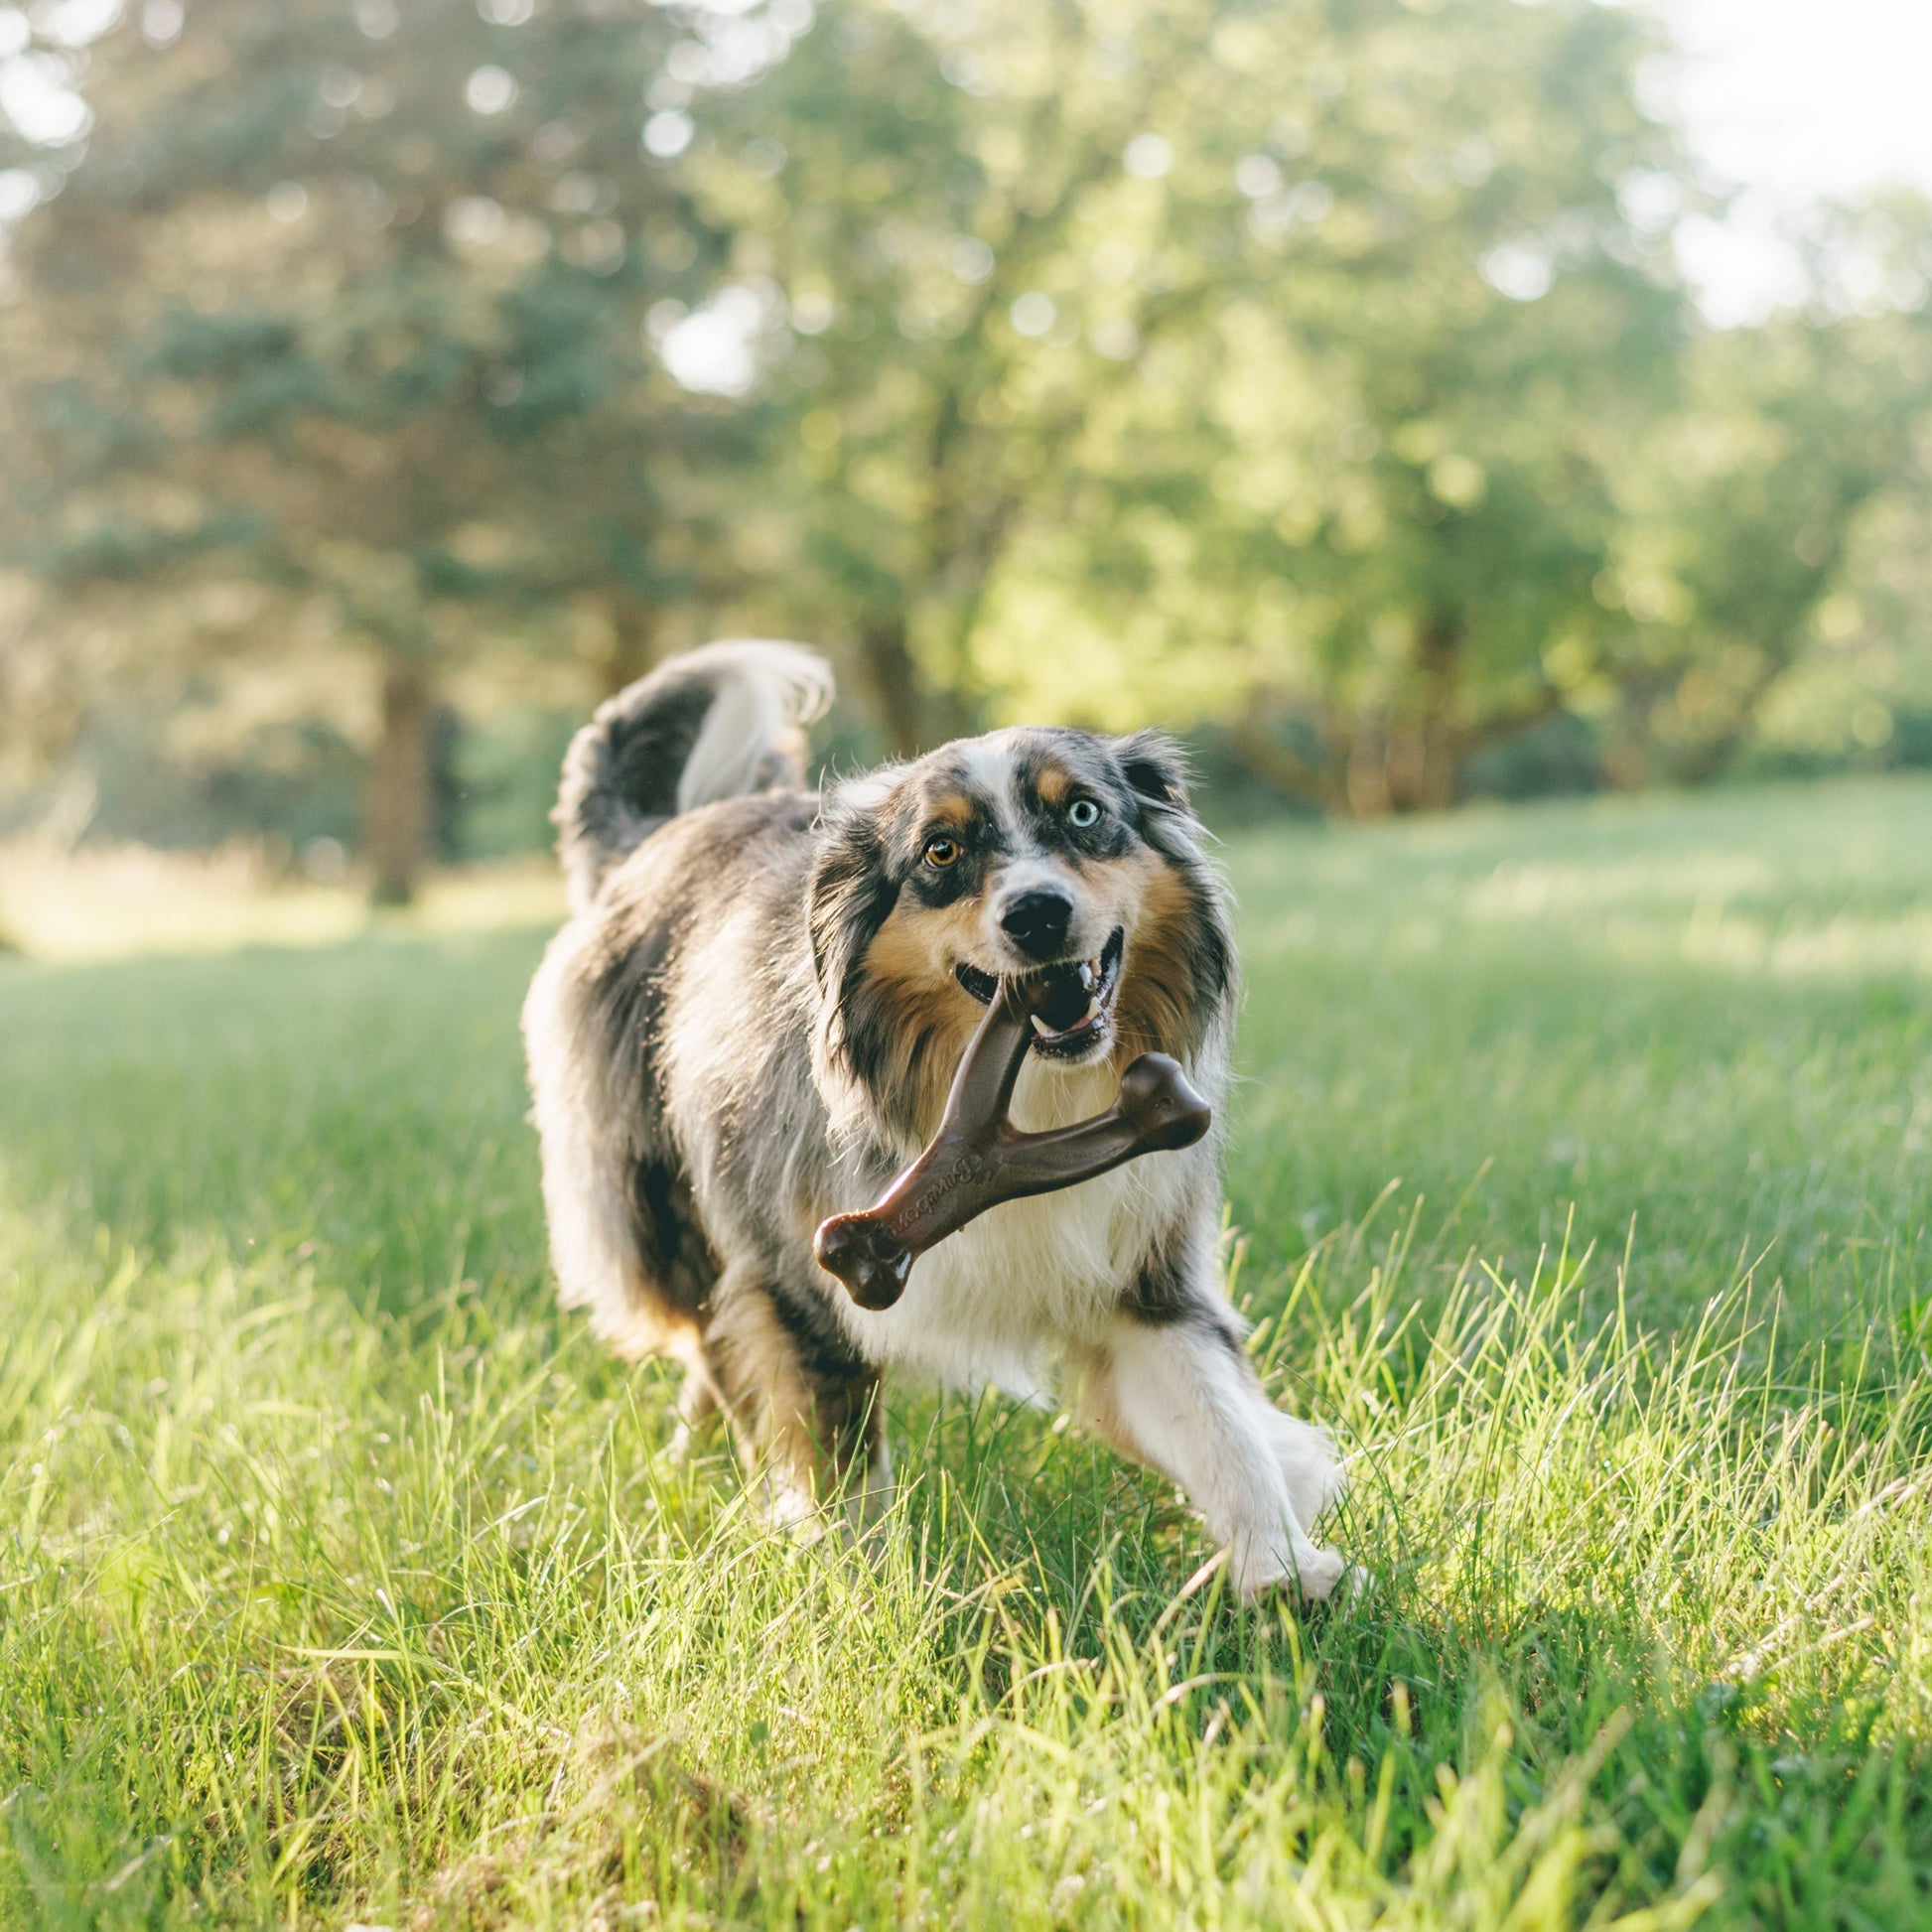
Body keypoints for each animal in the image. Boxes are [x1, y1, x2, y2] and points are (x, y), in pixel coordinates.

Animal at [521, 641, 1352, 1591]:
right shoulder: (800, 1273)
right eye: (942, 850)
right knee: (712, 1339)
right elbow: (838, 1467)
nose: (1037, 914)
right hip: (667, 1212)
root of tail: (649, 840)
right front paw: (859, 1593)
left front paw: (1283, 1571)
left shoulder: (1138, 1269)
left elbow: (1218, 1420)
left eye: (1084, 811)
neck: (1026, 1106)